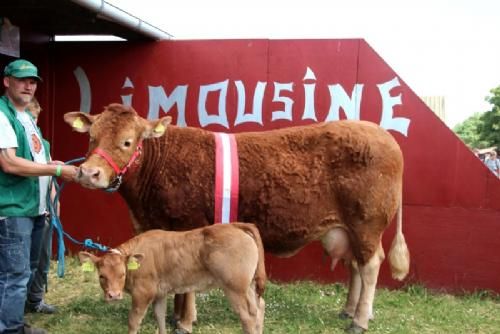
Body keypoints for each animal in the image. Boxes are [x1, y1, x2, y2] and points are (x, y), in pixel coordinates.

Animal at [78, 222, 266, 334]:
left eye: (122, 274)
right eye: (102, 276)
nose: (114, 295)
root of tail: (235, 226)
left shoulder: (143, 293)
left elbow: (133, 321)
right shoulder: (160, 293)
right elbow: (159, 316)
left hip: (234, 287)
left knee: (247, 316)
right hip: (248, 286)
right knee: (258, 307)